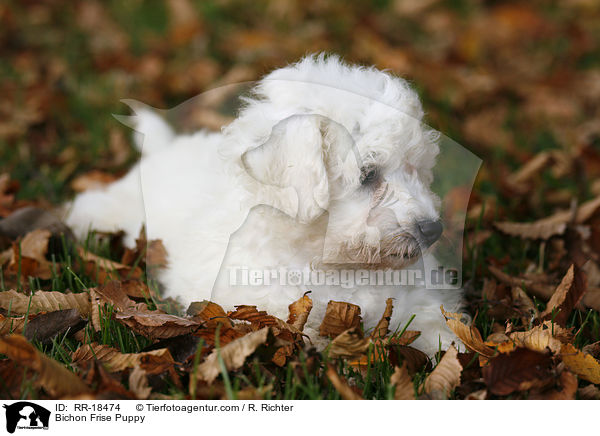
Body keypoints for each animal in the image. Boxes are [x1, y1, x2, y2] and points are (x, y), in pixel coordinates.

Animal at [65, 53, 462, 354]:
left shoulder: (415, 294)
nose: (434, 229)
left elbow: (433, 322)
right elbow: (302, 333)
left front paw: (451, 350)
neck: (327, 260)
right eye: (368, 175)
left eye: (415, 169)